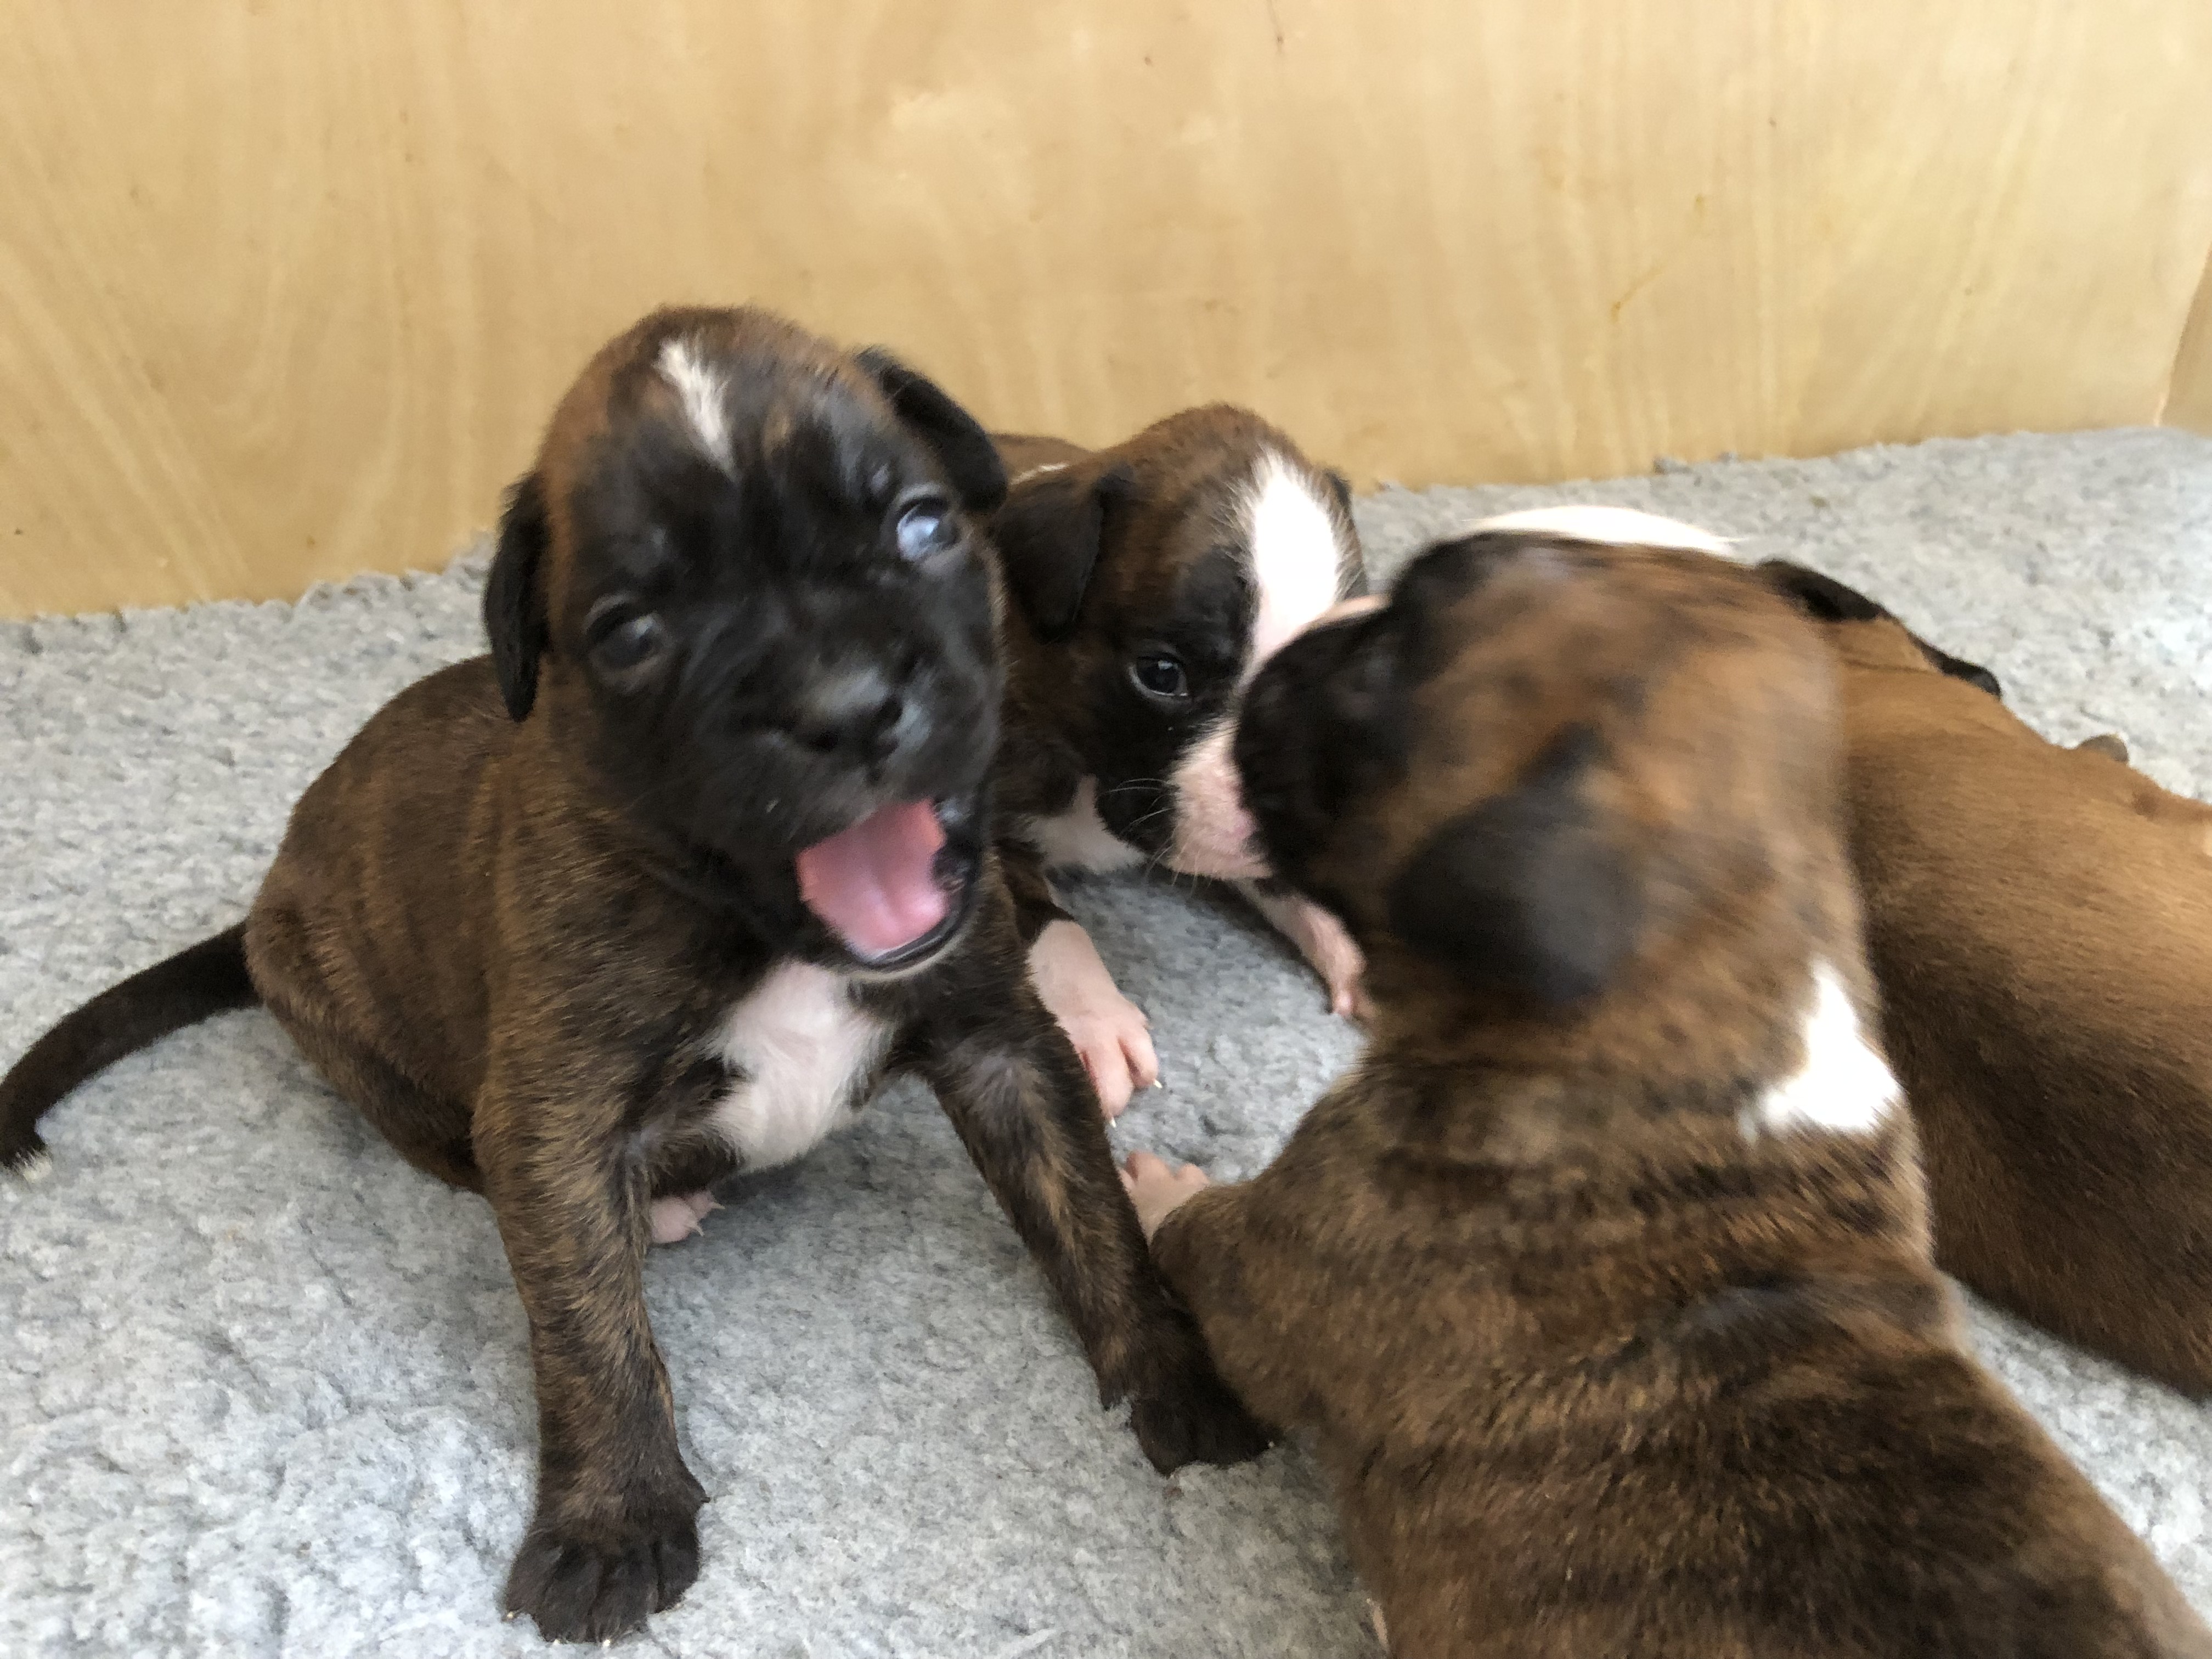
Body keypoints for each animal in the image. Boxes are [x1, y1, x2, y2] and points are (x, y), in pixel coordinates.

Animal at [0, 307, 1267, 1644]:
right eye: (630, 633)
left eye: (922, 525)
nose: (848, 706)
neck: (758, 924)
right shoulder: (554, 1124)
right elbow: (588, 1327)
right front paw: (613, 1520)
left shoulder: (1001, 1045)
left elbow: (1090, 1214)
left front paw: (1178, 1369)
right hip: (347, 1028)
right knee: (451, 1151)